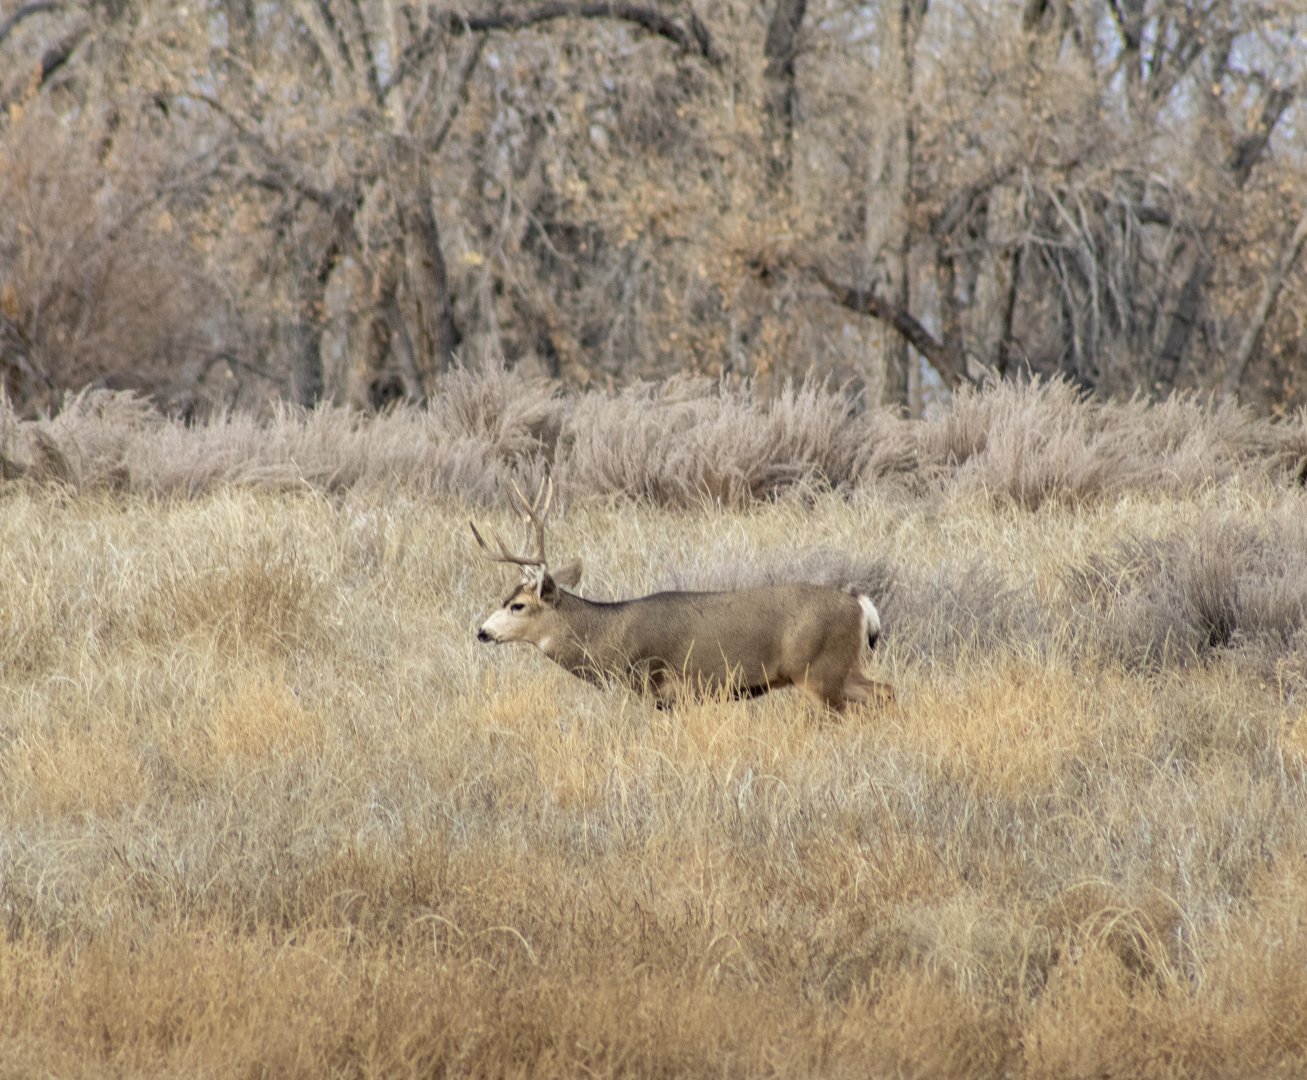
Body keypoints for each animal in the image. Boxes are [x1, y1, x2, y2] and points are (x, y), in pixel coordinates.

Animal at [471, 480, 894, 713]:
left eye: (518, 605)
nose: (482, 631)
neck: (608, 635)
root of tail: (859, 605)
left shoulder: (651, 683)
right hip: (842, 668)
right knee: (887, 691)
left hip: (819, 671)